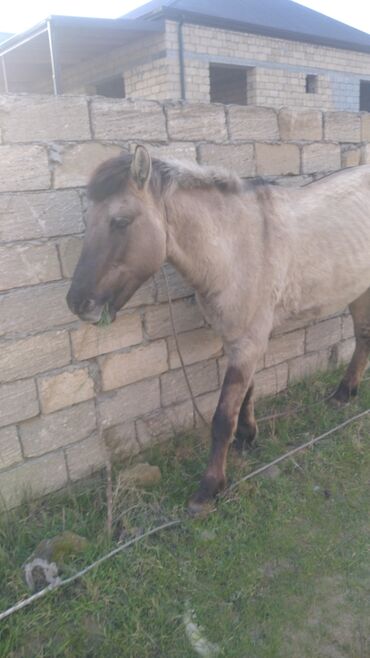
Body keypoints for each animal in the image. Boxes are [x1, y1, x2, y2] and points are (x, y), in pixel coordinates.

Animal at [66, 147, 370, 512]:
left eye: (121, 221)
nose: (78, 303)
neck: (238, 249)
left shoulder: (247, 343)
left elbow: (223, 417)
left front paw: (209, 488)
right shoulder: (241, 342)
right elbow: (247, 394)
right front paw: (247, 438)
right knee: (363, 340)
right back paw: (343, 394)